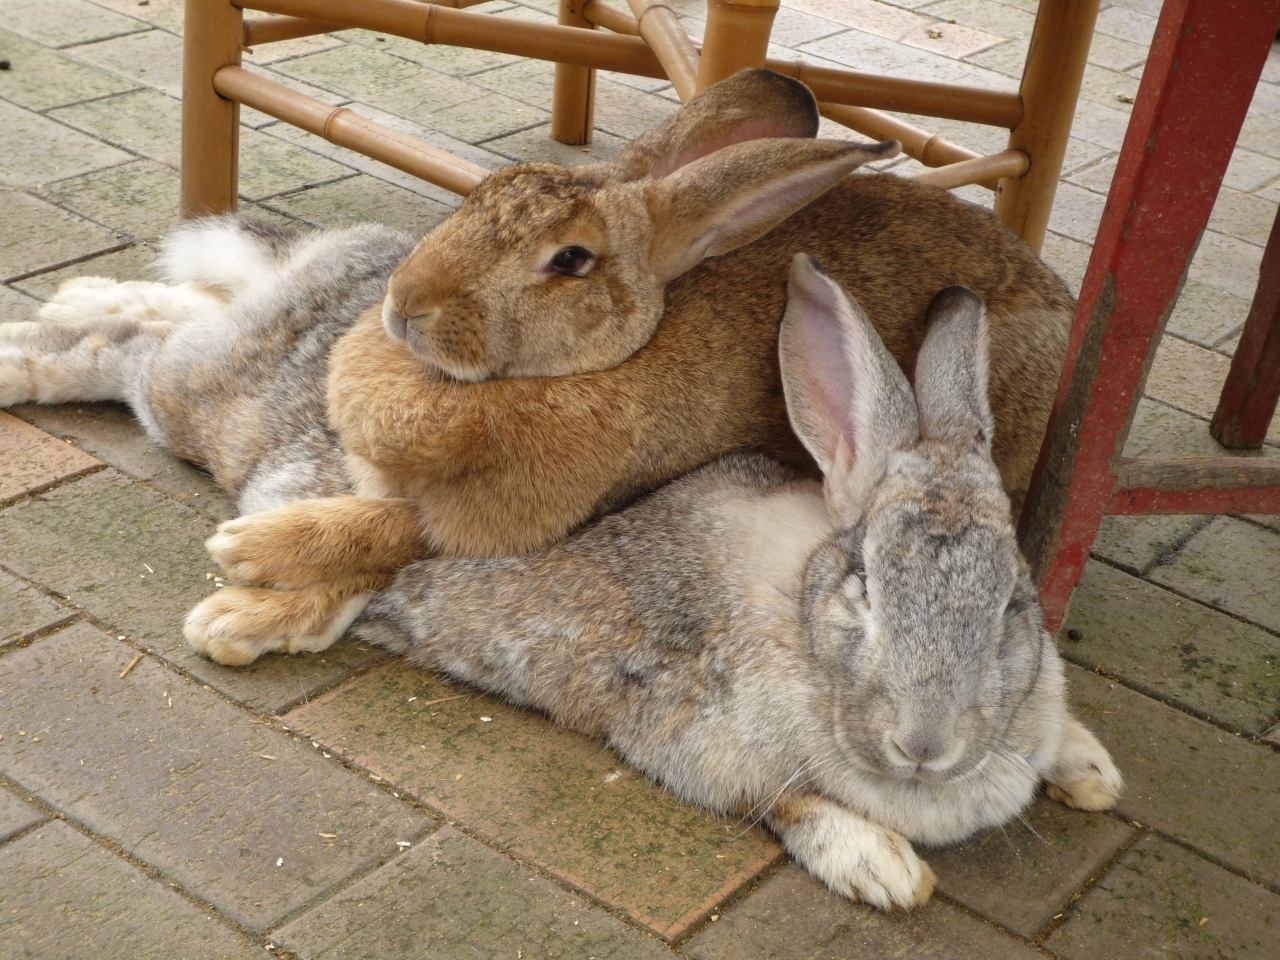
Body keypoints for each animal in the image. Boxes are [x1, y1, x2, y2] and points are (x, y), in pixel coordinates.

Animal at [360, 259, 1121, 911]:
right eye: (865, 586)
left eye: (1012, 600)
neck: (802, 611)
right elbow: (783, 801)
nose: (925, 746)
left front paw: (1093, 771)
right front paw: (883, 867)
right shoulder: (693, 739)